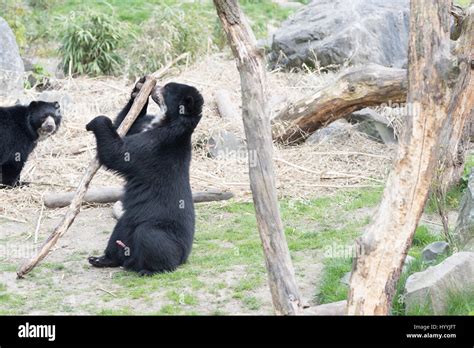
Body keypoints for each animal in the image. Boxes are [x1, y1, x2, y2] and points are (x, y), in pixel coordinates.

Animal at [86, 80, 204, 276]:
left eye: (166, 89)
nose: (155, 87)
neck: (168, 122)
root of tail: (184, 256)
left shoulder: (154, 145)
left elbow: (118, 152)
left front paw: (95, 121)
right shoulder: (145, 128)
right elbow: (129, 125)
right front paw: (138, 89)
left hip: (160, 234)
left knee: (150, 237)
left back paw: (149, 270)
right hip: (128, 220)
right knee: (119, 231)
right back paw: (100, 259)